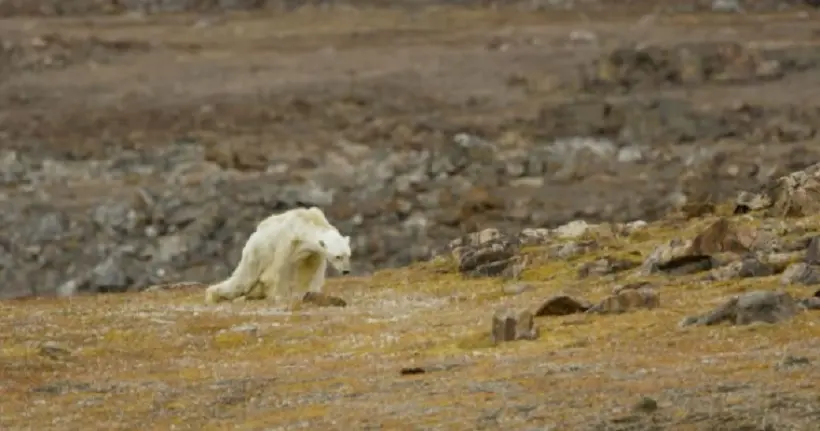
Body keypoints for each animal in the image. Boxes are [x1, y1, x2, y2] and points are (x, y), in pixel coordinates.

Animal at [205, 208, 352, 306]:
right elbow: (279, 270)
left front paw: (309, 293)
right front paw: (280, 296)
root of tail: (254, 234)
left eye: (348, 255)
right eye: (338, 256)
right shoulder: (287, 242)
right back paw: (214, 294)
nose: (346, 271)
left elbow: (310, 271)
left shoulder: (313, 253)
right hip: (257, 252)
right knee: (243, 279)